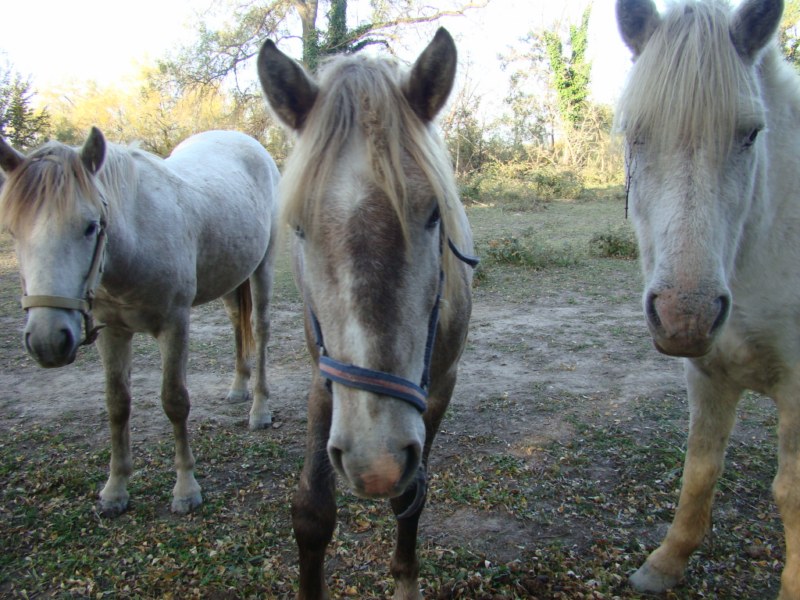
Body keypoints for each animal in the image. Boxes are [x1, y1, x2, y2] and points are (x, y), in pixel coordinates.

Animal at [0, 127, 282, 516]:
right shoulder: (112, 332)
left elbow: (175, 402)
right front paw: (115, 490)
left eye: (90, 227)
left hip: (263, 268)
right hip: (230, 275)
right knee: (237, 324)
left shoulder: (175, 325)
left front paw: (185, 489)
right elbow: (117, 404)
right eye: (12, 230)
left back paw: (259, 410)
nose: (47, 341)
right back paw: (238, 388)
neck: (136, 240)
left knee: (259, 329)